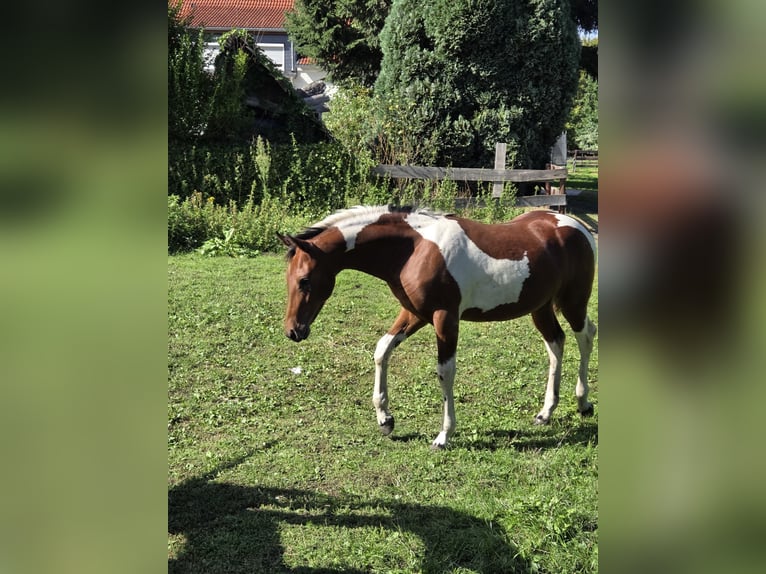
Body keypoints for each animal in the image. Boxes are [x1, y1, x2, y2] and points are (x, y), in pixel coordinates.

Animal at [278, 205, 597, 449]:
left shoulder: (445, 318)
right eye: (289, 278)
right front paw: (385, 419)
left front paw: (444, 435)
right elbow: (382, 350)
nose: (293, 331)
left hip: (573, 302)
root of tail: (577, 226)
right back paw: (546, 413)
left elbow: (445, 372)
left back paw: (583, 403)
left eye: (304, 280)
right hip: (540, 308)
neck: (415, 249)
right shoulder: (414, 314)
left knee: (585, 336)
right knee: (556, 343)